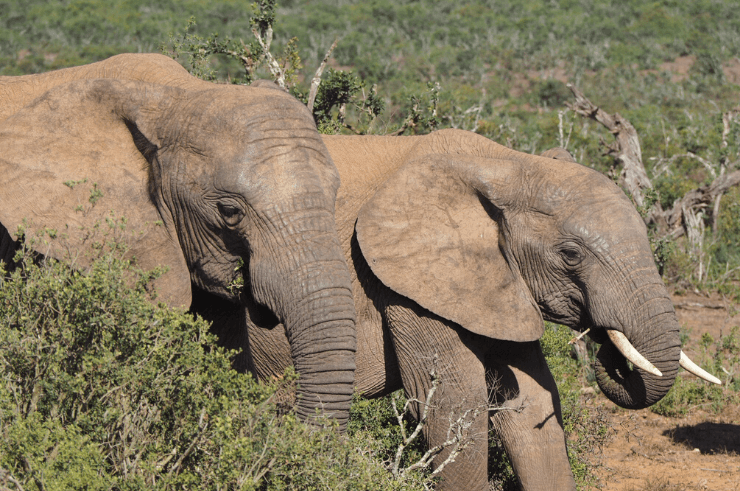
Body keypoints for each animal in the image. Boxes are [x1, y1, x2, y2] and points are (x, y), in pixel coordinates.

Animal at [246, 129, 720, 490]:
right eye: (570, 255)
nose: (609, 348)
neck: (504, 166)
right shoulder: (409, 284)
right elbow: (453, 404)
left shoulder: (499, 285)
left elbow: (531, 402)